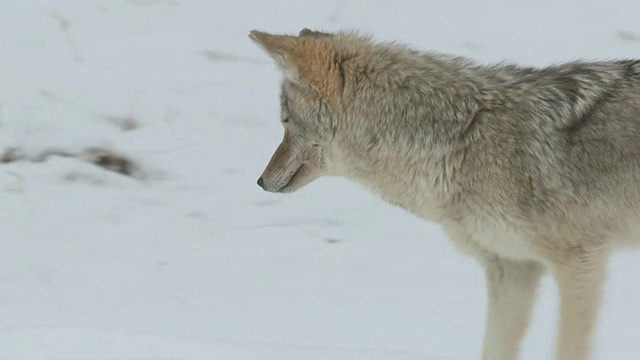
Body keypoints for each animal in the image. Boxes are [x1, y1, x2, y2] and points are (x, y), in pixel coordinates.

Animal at [249, 28, 640, 360]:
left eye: (285, 121)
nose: (260, 182)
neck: (464, 139)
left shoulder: (580, 260)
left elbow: (569, 348)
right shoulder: (513, 267)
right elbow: (493, 349)